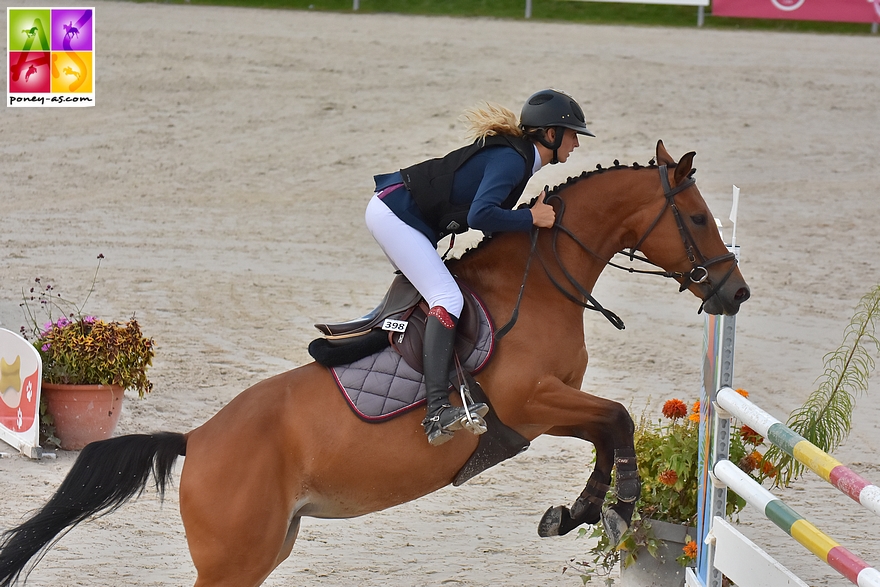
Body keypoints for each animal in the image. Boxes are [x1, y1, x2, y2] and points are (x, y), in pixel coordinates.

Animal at [0, 142, 748, 587]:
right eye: (698, 218)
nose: (735, 293)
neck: (538, 280)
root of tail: (197, 440)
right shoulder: (532, 401)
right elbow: (617, 419)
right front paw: (617, 507)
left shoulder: (548, 406)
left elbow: (605, 430)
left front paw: (581, 510)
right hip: (235, 555)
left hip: (267, 547)